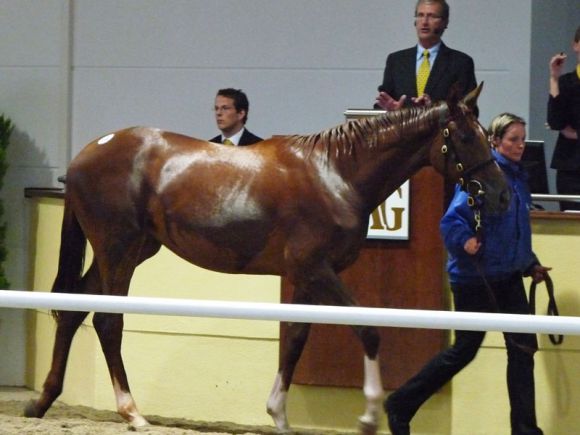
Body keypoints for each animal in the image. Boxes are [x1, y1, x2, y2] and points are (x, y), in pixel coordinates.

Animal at [26, 83, 508, 434]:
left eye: (488, 136)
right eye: (467, 136)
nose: (501, 195)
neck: (335, 174)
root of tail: (88, 151)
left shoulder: (307, 275)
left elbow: (296, 337)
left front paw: (278, 413)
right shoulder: (316, 269)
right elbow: (368, 330)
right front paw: (370, 414)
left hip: (135, 248)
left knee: (72, 311)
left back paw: (43, 400)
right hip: (118, 248)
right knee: (108, 321)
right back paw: (132, 412)